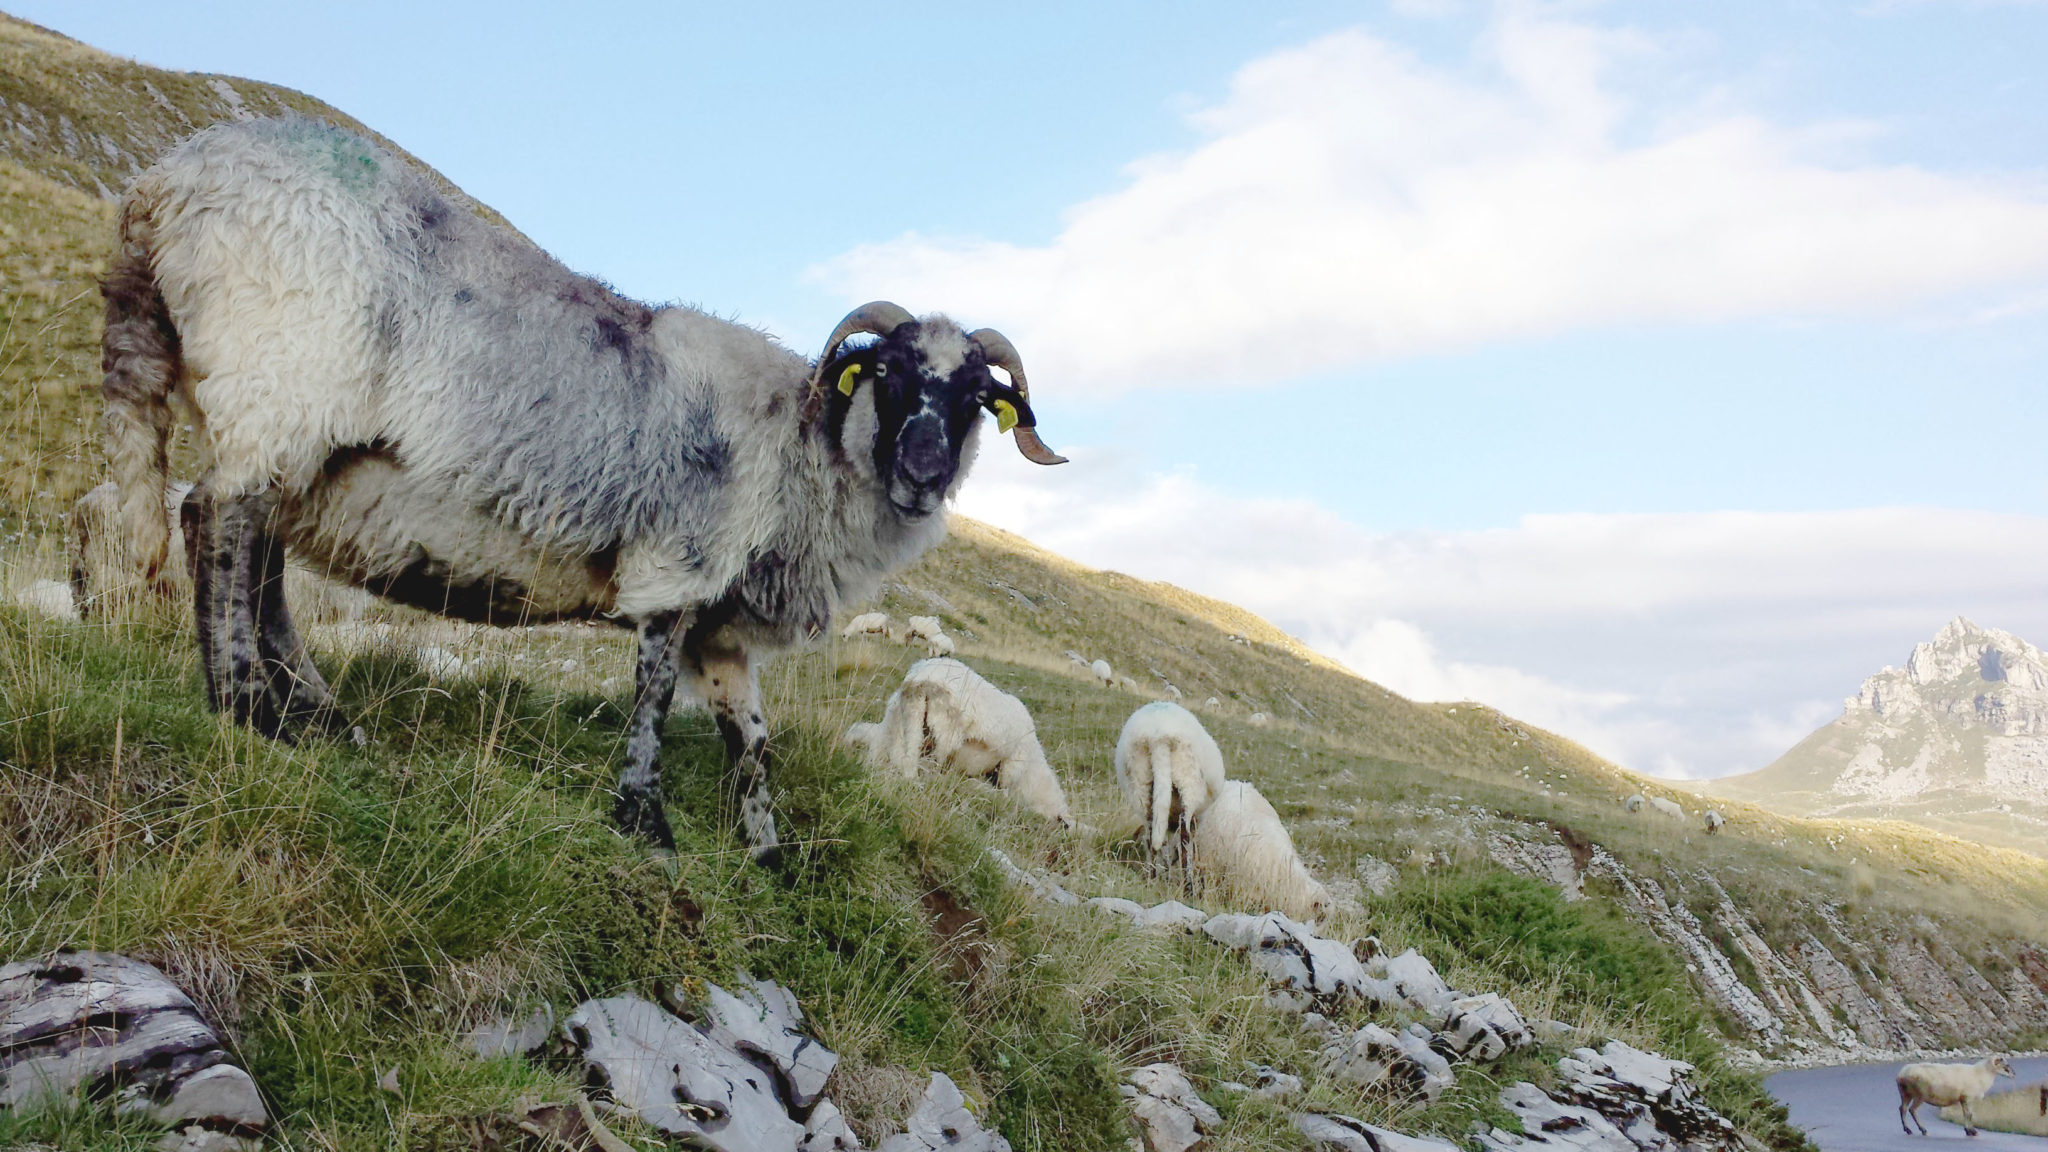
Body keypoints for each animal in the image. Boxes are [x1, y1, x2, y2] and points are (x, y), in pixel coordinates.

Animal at [843, 655, 1081, 824]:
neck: (1033, 771)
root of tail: (919, 680)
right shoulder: (1011, 766)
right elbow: (1004, 791)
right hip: (944, 731)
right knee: (924, 765)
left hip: (904, 718)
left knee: (892, 754)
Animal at [1892, 1049, 2023, 1131]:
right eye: (2006, 1065)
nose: (2014, 1074)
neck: (1982, 1073)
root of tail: (1902, 1074)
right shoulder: (1968, 1097)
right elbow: (1969, 1115)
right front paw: (1971, 1131)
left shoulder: (1964, 1099)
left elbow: (1967, 1114)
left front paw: (1968, 1130)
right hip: (1920, 1095)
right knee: (1912, 1110)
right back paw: (1922, 1129)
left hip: (1905, 1093)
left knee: (1903, 1109)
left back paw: (1907, 1129)